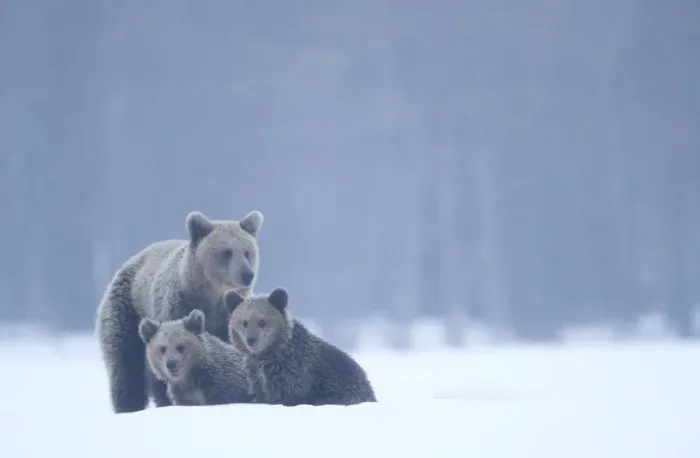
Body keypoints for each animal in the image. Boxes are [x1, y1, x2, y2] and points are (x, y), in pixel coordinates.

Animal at [96, 209, 263, 413]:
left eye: (248, 252)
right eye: (226, 252)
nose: (247, 275)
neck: (211, 298)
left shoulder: (229, 319)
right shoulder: (176, 309)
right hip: (126, 313)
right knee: (126, 367)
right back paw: (128, 406)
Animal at [224, 287, 377, 406]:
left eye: (262, 321)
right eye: (244, 322)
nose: (251, 339)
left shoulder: (295, 374)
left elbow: (291, 396)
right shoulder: (257, 376)